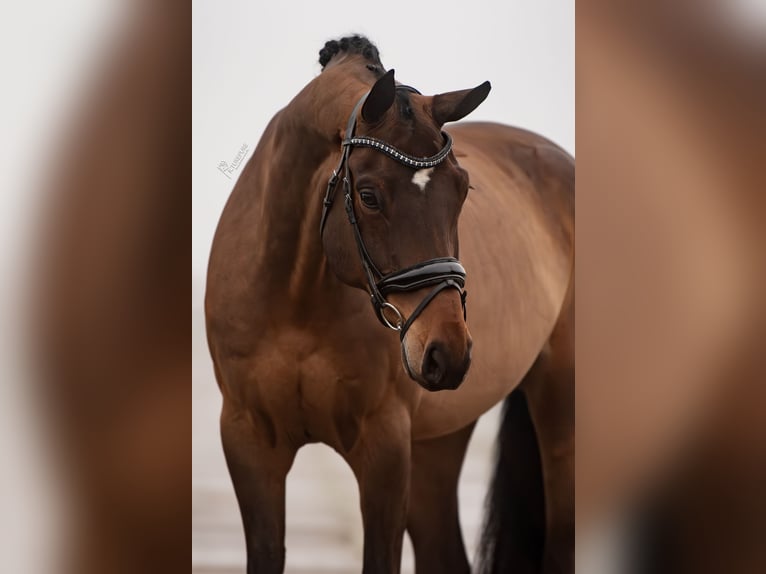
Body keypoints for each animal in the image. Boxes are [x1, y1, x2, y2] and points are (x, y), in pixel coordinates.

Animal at [207, 37, 572, 574]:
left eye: (463, 189)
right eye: (369, 196)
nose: (447, 351)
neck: (295, 302)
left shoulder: (385, 450)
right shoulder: (248, 444)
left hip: (558, 412)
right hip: (437, 445)